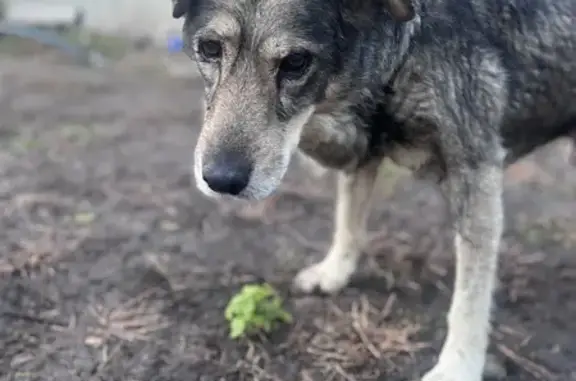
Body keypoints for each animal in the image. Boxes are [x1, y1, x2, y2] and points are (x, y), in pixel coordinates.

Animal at [171, 0, 576, 378]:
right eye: (209, 48)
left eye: (296, 62)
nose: (221, 180)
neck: (406, 43)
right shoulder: (365, 152)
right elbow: (349, 221)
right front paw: (334, 272)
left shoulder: (476, 172)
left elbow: (470, 296)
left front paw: (458, 365)